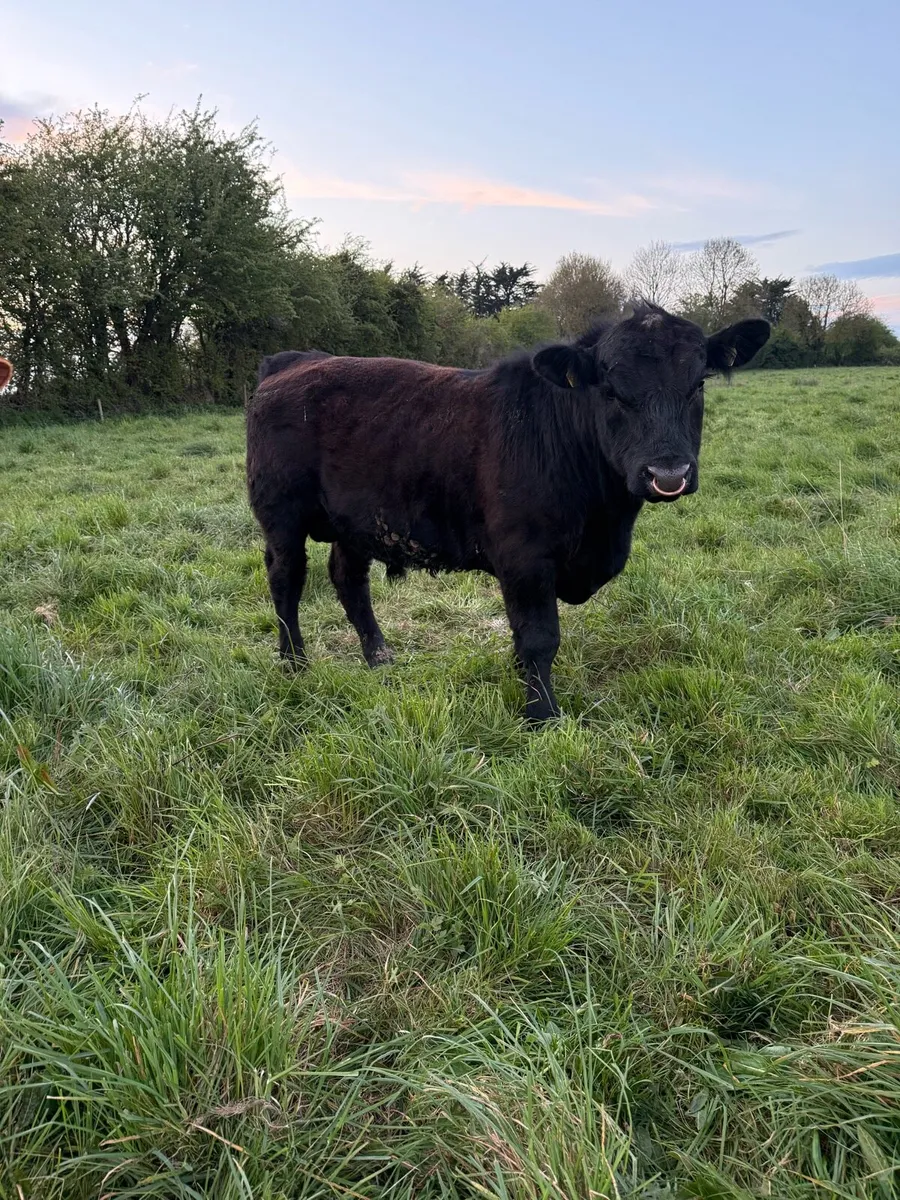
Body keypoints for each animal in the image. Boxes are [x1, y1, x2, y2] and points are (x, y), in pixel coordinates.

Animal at [246, 305, 769, 722]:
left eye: (698, 384)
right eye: (610, 390)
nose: (668, 472)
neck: (604, 521)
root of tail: (295, 360)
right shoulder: (524, 558)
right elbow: (539, 638)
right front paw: (542, 714)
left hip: (355, 522)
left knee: (348, 579)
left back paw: (378, 655)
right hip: (281, 515)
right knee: (286, 579)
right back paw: (294, 663)